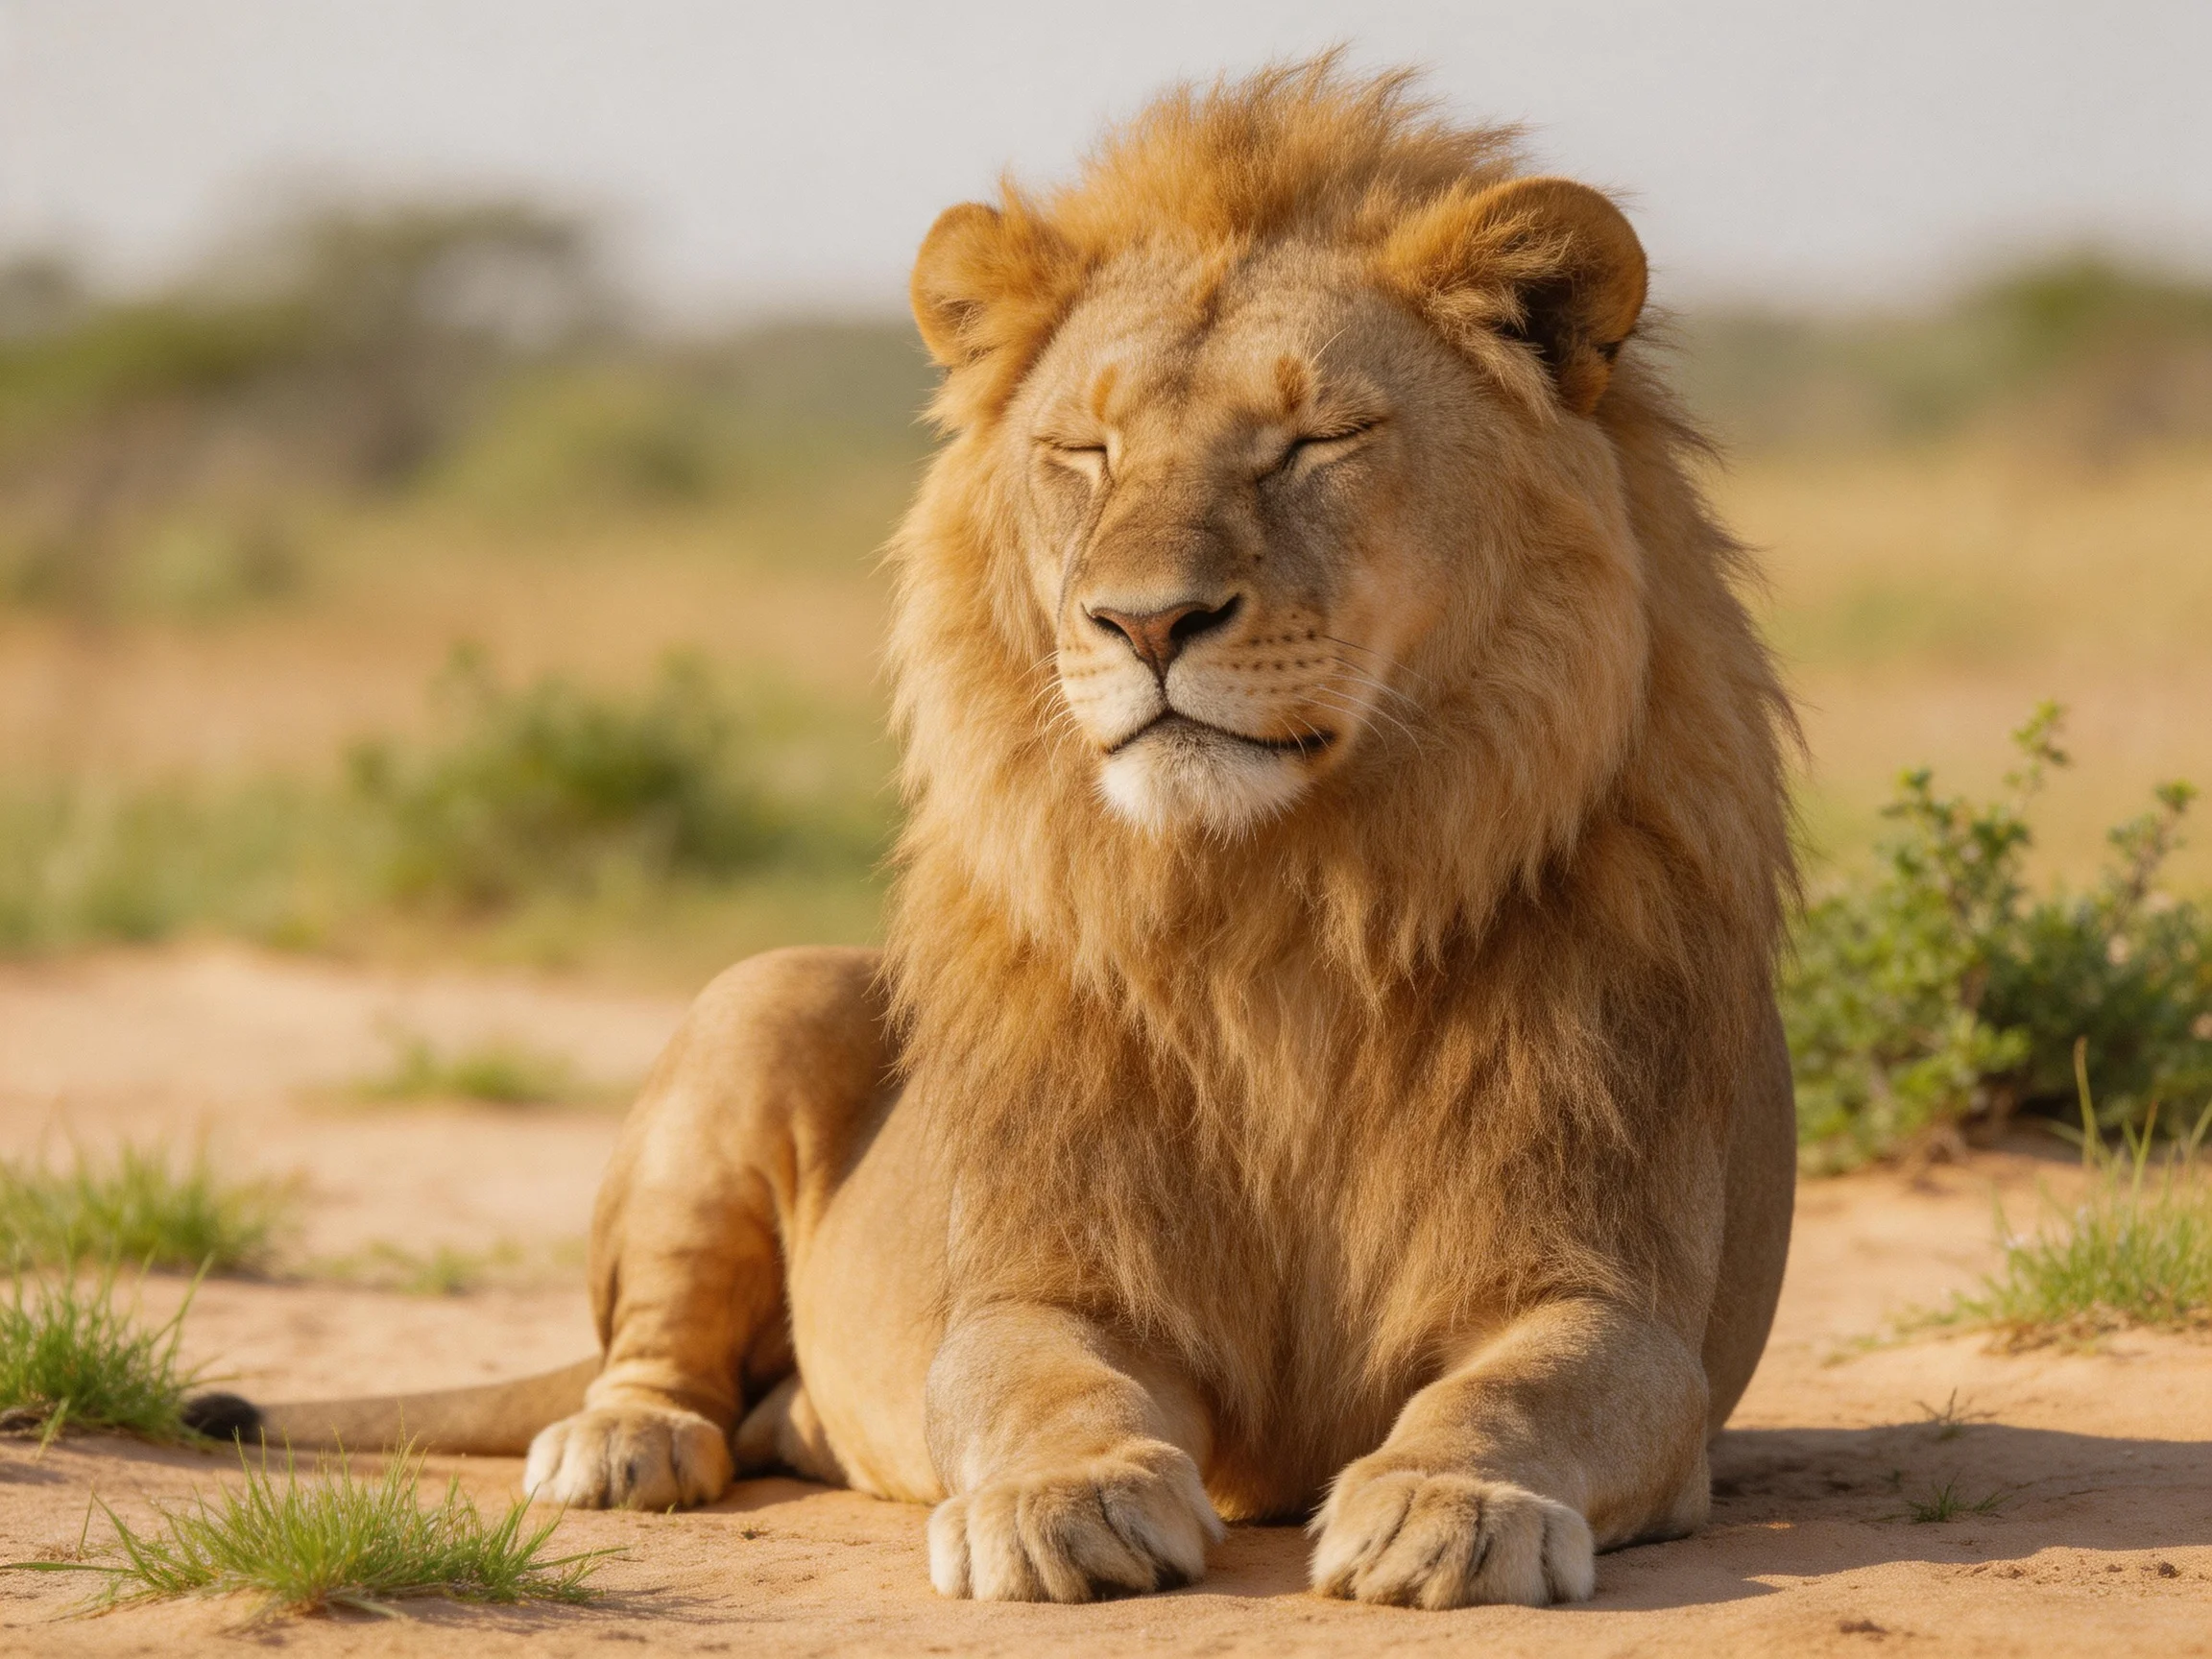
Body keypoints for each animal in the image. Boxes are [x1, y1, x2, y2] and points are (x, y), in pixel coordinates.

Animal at [207, 59, 1799, 1609]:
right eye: (1082, 450)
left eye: (1317, 440)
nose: (1145, 623)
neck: (1277, 907)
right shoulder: (1043, 1278)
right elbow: (1035, 1383)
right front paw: (1061, 1506)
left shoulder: (1602, 1288)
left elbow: (1523, 1392)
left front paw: (1448, 1509)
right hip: (760, 996)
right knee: (653, 1350)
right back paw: (623, 1443)